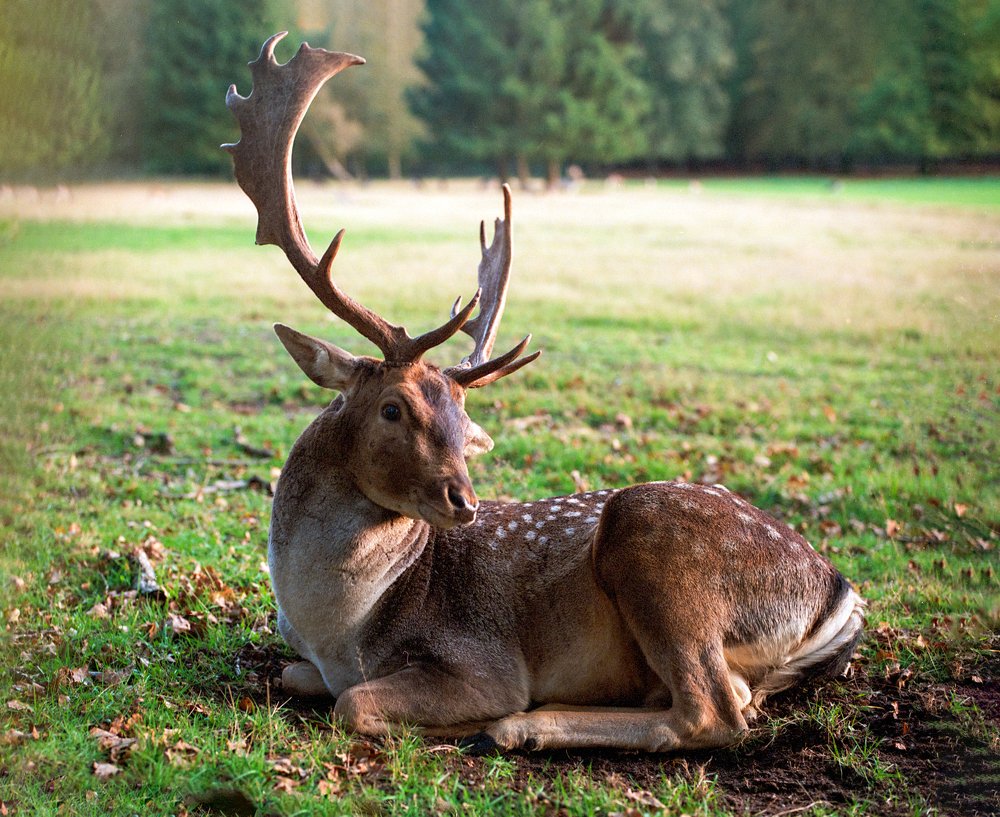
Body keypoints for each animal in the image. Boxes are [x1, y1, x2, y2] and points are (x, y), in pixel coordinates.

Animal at [223, 33, 865, 753]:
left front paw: (472, 719)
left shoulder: (481, 658)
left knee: (715, 711)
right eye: (394, 407)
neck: (337, 628)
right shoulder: (307, 657)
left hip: (656, 547)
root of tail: (838, 591)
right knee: (738, 697)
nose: (465, 501)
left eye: (463, 419)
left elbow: (353, 702)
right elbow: (292, 673)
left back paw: (519, 727)